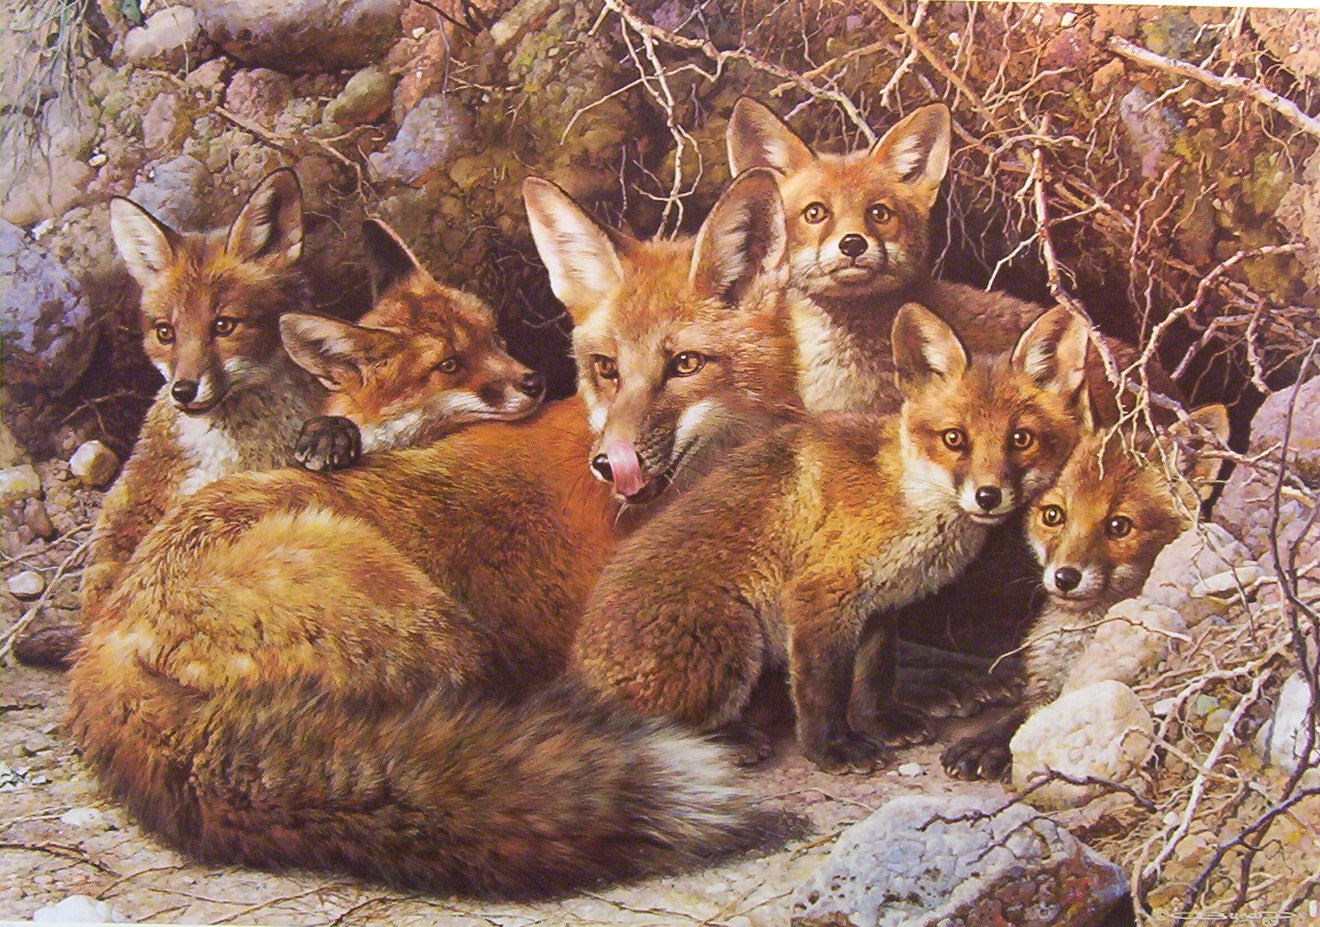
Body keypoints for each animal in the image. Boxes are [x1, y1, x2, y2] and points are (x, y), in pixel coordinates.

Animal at [66, 169, 802, 896]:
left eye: (685, 365)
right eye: (606, 367)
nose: (611, 462)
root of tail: (103, 640)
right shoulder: (615, 644)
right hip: (438, 632)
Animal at [572, 303, 1091, 774]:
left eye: (1021, 439)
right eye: (954, 439)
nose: (988, 495)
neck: (901, 496)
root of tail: (575, 668)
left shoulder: (879, 605)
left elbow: (873, 677)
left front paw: (881, 723)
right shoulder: (820, 594)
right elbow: (822, 690)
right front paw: (831, 750)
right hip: (735, 643)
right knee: (653, 727)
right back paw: (729, 740)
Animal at [941, 404, 1229, 780]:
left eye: (1119, 526)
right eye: (1053, 515)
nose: (1065, 577)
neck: (1078, 637)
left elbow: (1030, 723)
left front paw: (990, 750)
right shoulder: (1045, 685)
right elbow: (1019, 715)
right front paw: (984, 740)